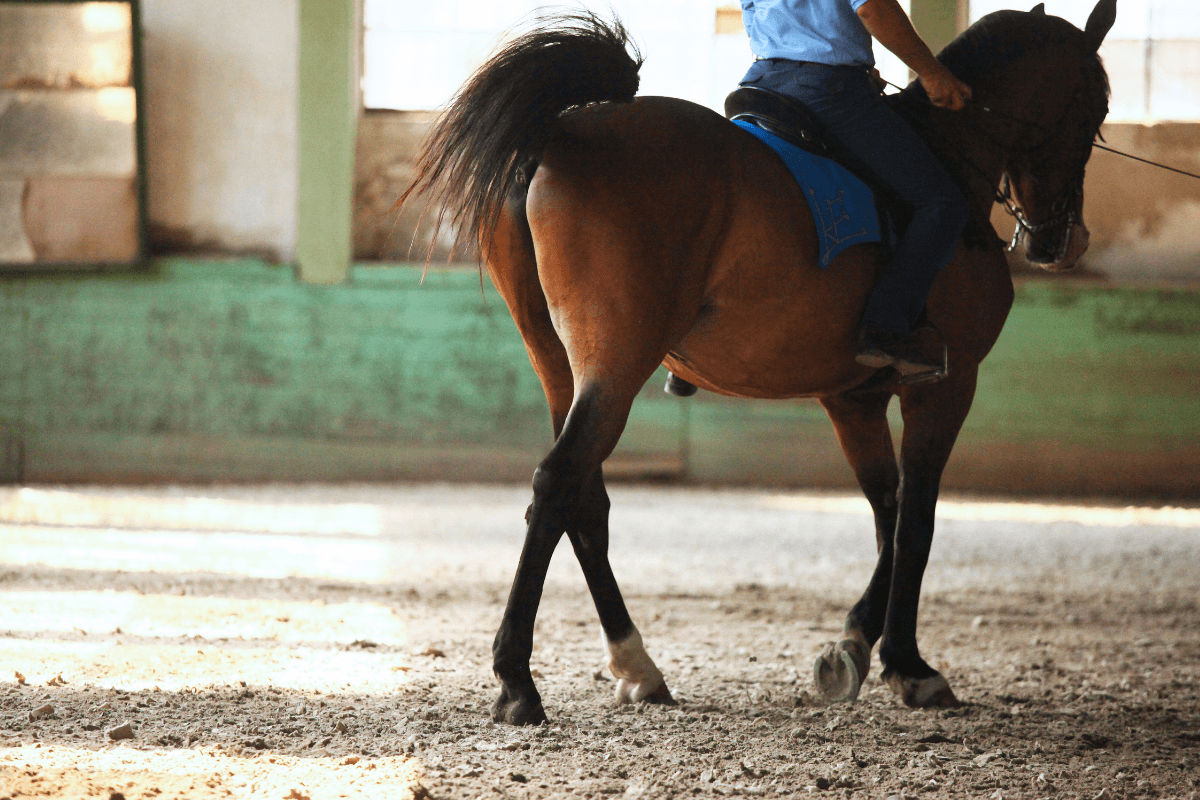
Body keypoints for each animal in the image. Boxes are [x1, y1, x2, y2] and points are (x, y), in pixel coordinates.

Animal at [400, 0, 1116, 724]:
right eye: (1096, 109)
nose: (1061, 240)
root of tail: (561, 134)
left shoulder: (852, 397)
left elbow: (887, 515)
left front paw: (855, 645)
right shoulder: (945, 386)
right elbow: (916, 519)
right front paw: (909, 666)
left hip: (558, 364)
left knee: (583, 499)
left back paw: (636, 665)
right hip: (614, 366)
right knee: (557, 484)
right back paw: (518, 681)